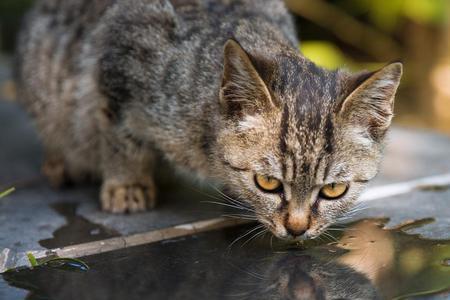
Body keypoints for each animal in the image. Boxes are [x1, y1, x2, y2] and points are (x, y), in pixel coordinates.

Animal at [14, 0, 400, 239]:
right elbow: (122, 137)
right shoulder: (118, 61)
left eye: (334, 190)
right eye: (268, 183)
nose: (296, 229)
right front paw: (127, 185)